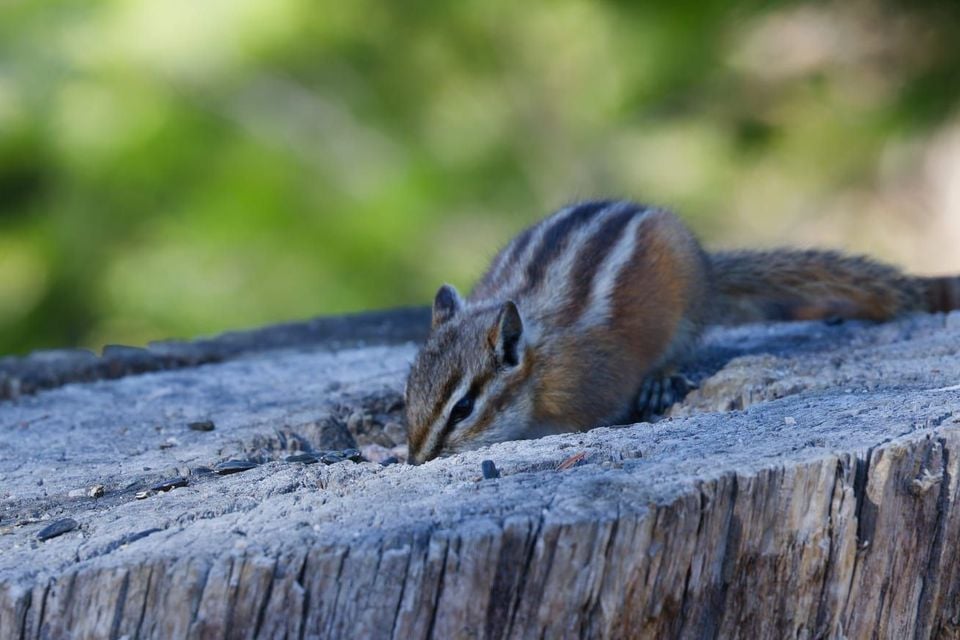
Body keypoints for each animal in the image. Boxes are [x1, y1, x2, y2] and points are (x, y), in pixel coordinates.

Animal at [404, 200, 960, 464]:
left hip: (687, 311)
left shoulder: (590, 387)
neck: (538, 366)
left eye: (463, 408)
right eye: (407, 394)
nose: (415, 460)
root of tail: (709, 269)